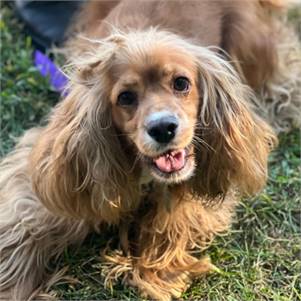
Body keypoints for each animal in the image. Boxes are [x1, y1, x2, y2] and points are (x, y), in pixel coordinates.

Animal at [0, 0, 300, 300]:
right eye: (125, 97)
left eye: (181, 83)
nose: (163, 128)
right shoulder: (55, 174)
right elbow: (26, 226)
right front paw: (13, 286)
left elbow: (175, 215)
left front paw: (156, 272)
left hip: (253, 47)